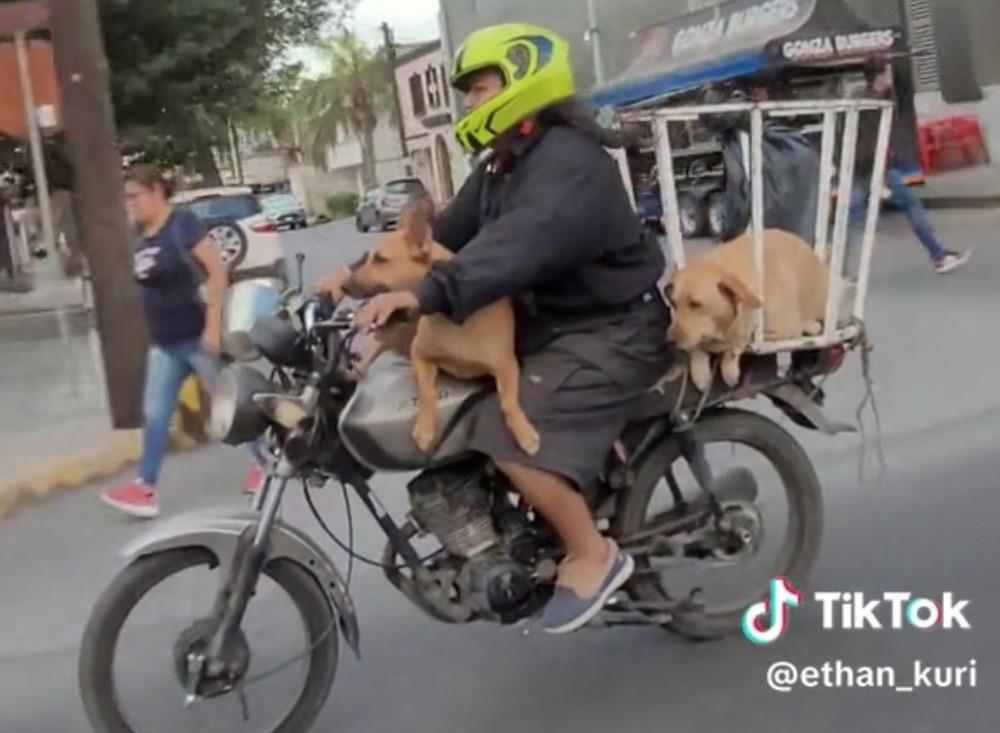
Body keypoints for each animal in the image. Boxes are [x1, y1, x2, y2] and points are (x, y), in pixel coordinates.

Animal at [338, 197, 544, 454]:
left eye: (380, 260)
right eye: (368, 257)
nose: (343, 285)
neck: (449, 316)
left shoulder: (506, 366)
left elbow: (508, 402)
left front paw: (523, 432)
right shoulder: (419, 356)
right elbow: (427, 393)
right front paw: (425, 427)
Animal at [664, 229, 828, 392]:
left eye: (695, 304)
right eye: (673, 304)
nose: (669, 341)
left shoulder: (766, 332)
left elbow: (736, 346)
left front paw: (728, 368)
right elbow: (697, 346)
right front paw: (700, 370)